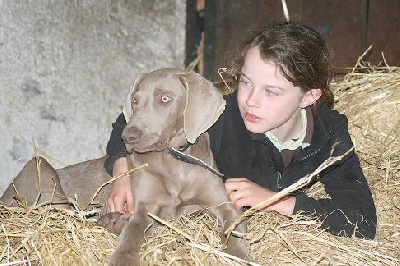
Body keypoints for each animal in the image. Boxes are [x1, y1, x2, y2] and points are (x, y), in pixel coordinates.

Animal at [0, 68, 247, 264]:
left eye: (165, 99)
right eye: (135, 101)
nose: (127, 136)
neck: (176, 161)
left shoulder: (225, 205)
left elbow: (235, 231)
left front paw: (241, 257)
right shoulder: (142, 209)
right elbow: (132, 237)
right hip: (40, 168)